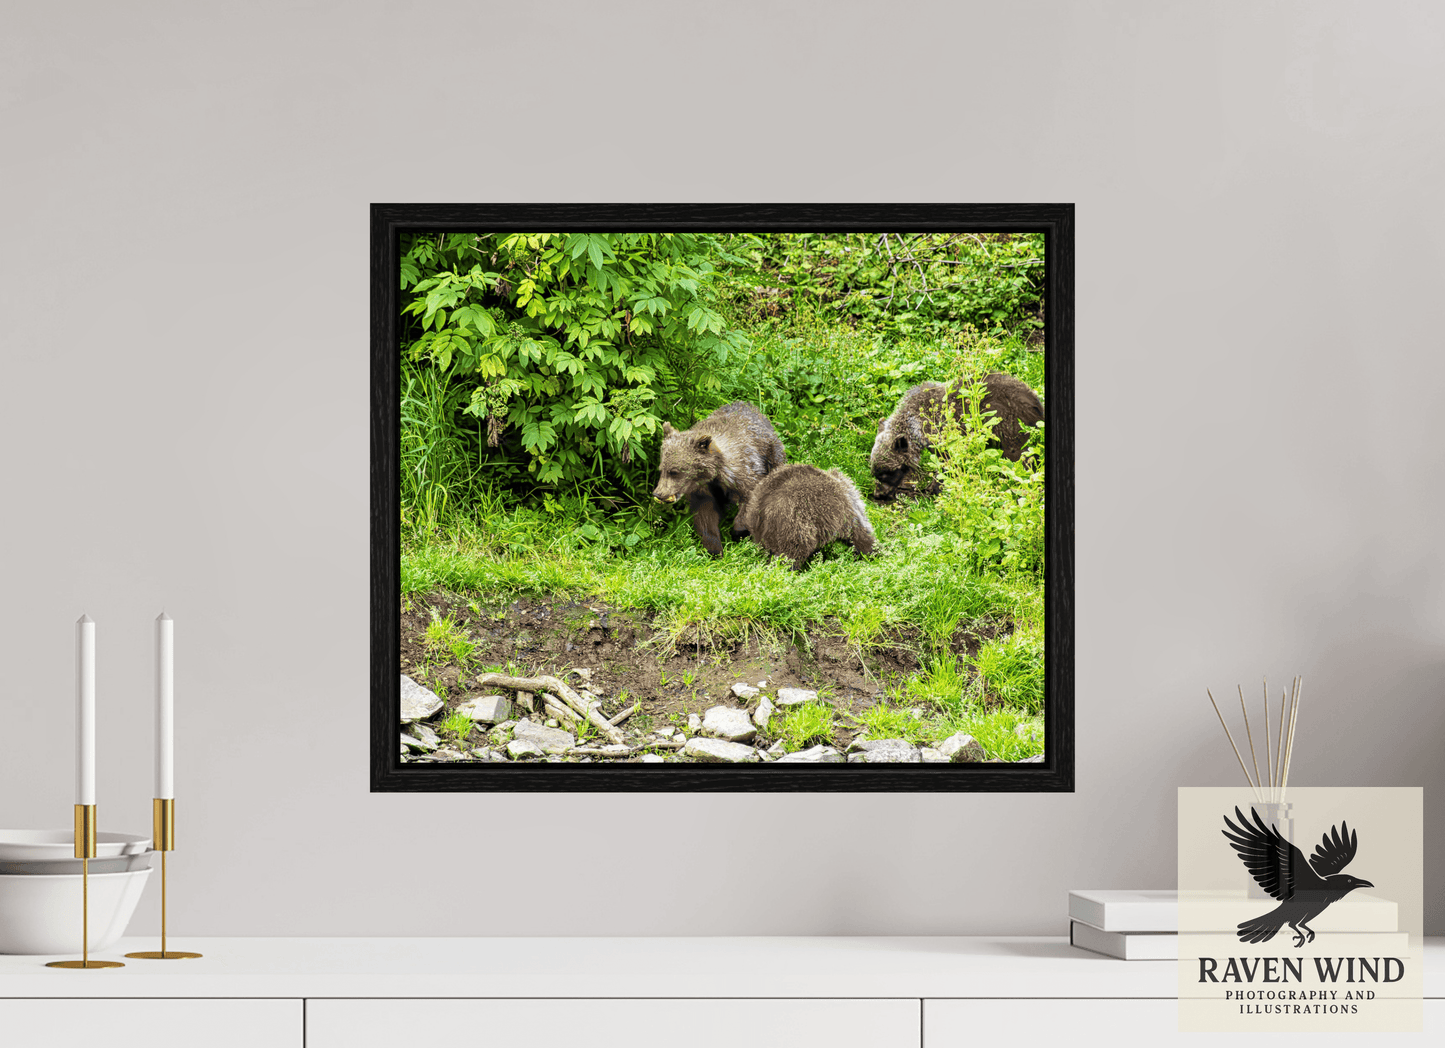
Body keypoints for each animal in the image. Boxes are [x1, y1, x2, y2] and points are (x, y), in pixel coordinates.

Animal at [652, 401, 787, 556]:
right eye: (662, 469)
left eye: (674, 471)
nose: (658, 493)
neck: (714, 473)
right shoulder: (704, 490)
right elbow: (706, 516)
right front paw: (714, 549)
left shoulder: (745, 474)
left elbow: (750, 500)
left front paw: (739, 533)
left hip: (772, 454)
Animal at [869, 371, 1043, 500]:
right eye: (875, 471)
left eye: (887, 473)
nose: (878, 494)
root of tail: (1036, 402)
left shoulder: (942, 435)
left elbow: (947, 462)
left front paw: (935, 488)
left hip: (1010, 427)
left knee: (1019, 457)